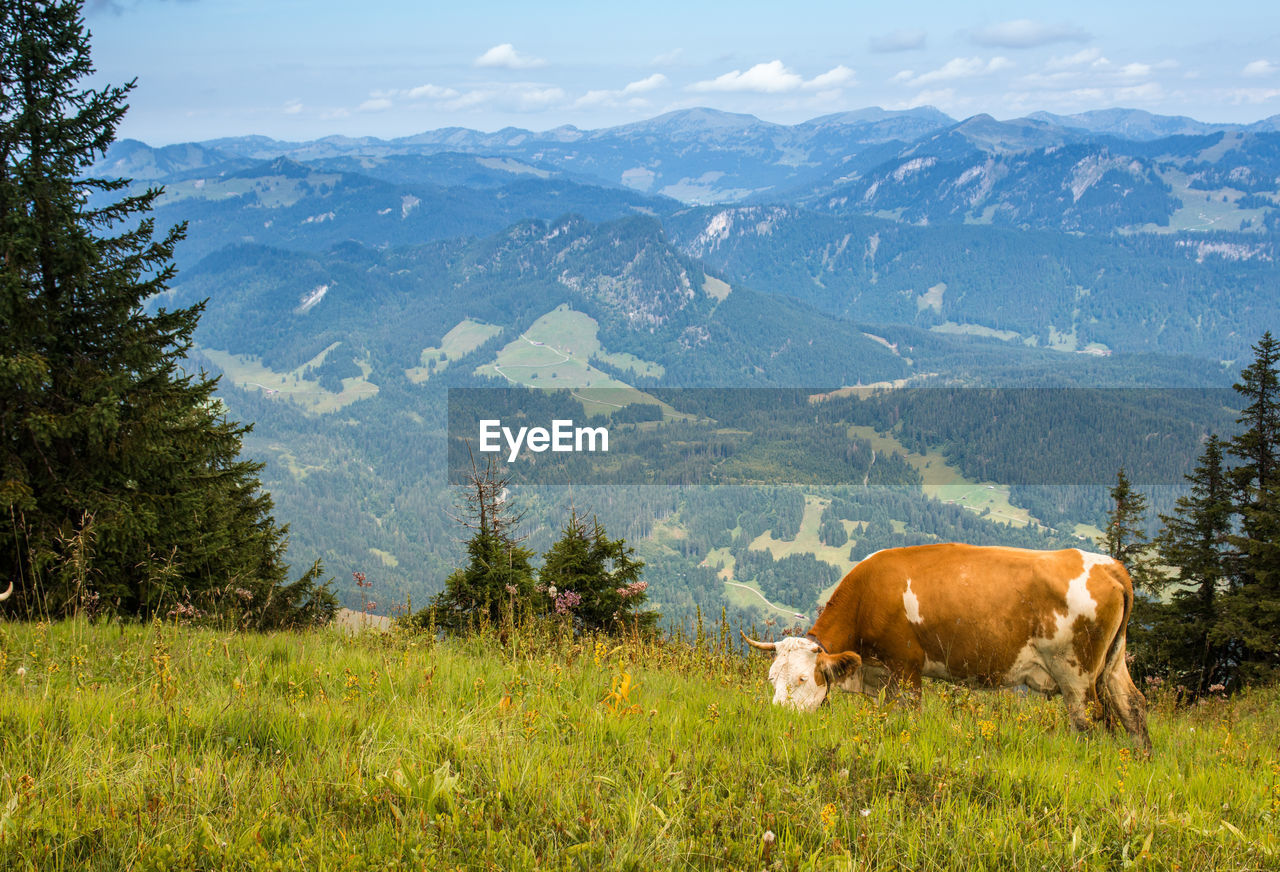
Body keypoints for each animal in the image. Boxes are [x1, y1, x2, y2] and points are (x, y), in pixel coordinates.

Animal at [742, 542, 1152, 747]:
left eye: (802, 680)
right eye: (771, 679)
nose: (776, 718)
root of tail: (1109, 565)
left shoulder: (906, 666)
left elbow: (909, 715)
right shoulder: (882, 675)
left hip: (1076, 671)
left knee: (1088, 719)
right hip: (1112, 662)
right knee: (1132, 706)